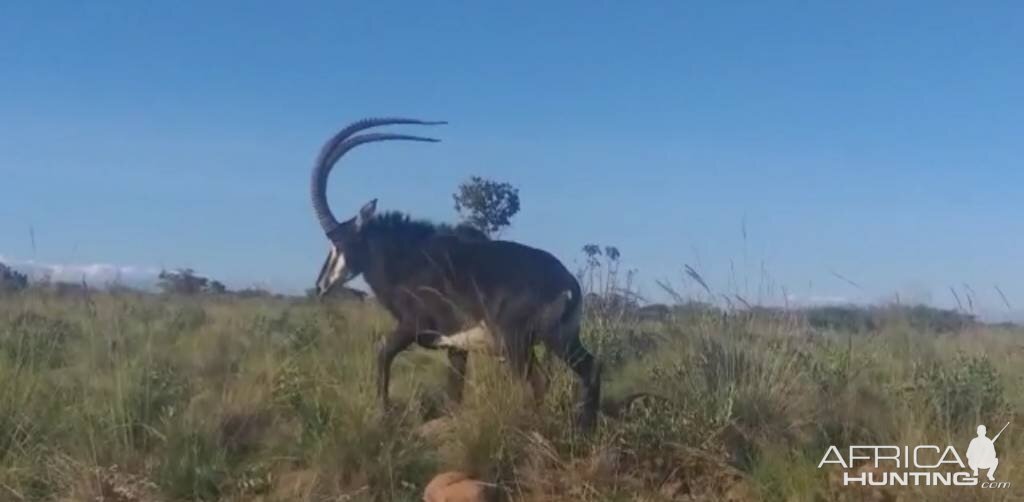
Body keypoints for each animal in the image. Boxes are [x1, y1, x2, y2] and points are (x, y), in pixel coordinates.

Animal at [311, 116, 598, 428]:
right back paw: (585, 425)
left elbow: (383, 351)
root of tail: (568, 284)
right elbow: (454, 392)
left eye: (338, 243)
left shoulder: (413, 326)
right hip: (561, 338)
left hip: (517, 343)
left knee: (538, 382)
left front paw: (382, 413)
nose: (321, 286)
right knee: (590, 368)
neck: (409, 258)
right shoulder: (456, 346)